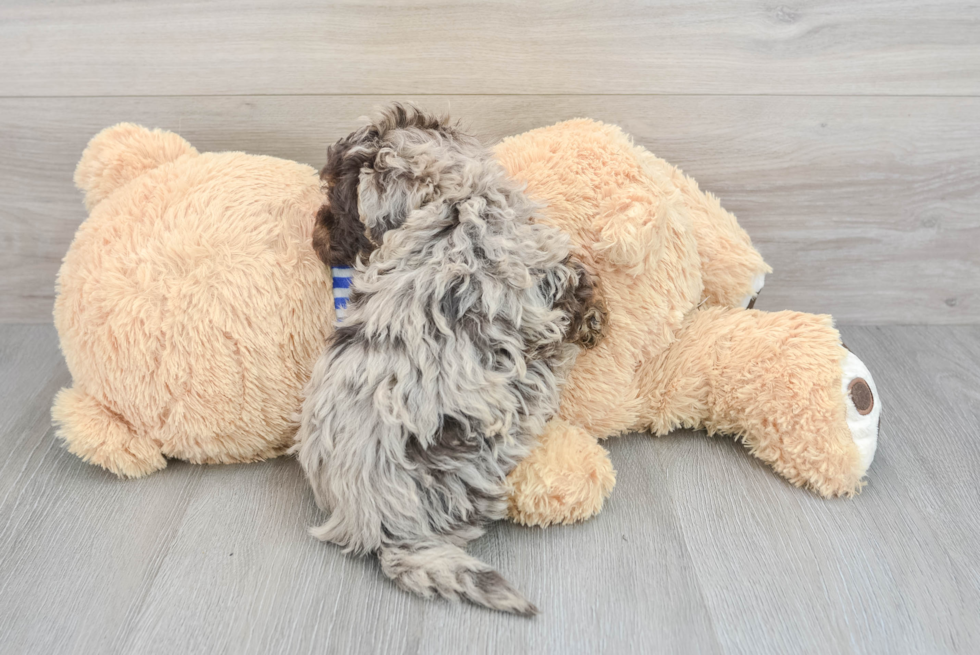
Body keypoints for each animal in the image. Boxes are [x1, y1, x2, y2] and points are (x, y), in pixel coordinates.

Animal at [296, 104, 604, 616]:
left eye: (336, 203)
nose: (316, 241)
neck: (455, 198)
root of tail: (378, 525)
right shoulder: (544, 270)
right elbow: (579, 284)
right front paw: (598, 319)